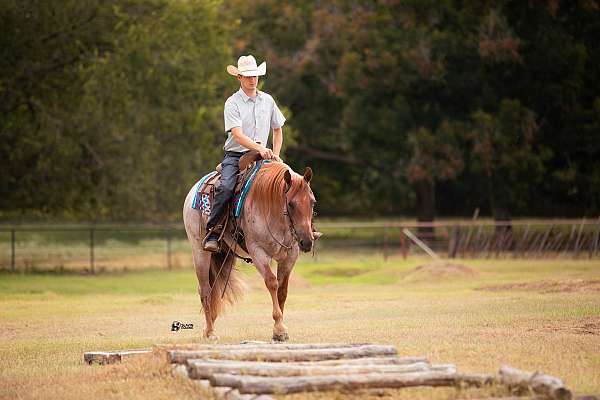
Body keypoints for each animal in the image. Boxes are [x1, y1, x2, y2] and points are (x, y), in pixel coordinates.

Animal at [182, 161, 314, 342]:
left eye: (312, 202)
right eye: (291, 204)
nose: (307, 241)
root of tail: (193, 191)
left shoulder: (290, 255)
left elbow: (282, 290)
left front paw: (278, 331)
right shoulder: (258, 252)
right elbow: (272, 283)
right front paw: (279, 328)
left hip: (224, 254)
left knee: (214, 288)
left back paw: (207, 328)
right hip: (200, 251)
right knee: (205, 290)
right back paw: (210, 332)